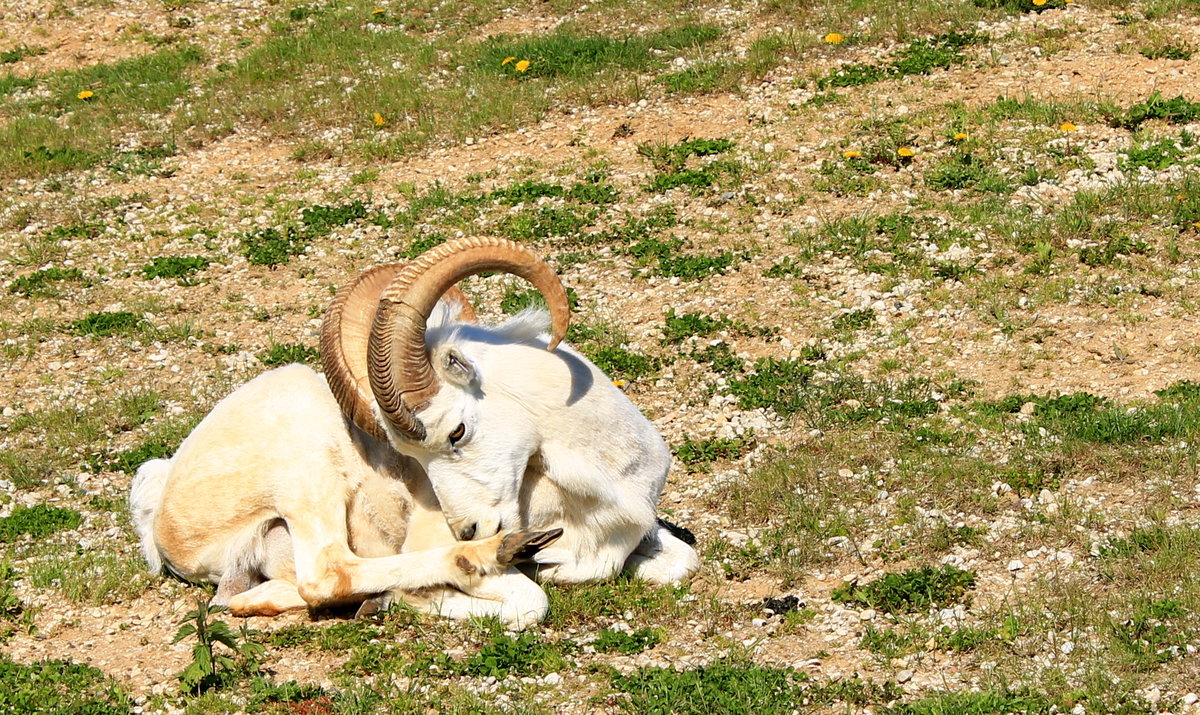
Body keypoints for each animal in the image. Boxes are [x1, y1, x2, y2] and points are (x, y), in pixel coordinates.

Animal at [131, 237, 700, 627]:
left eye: (457, 432)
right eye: (413, 458)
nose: (469, 528)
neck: (613, 480)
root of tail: (162, 510)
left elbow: (682, 562)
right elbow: (528, 602)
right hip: (305, 465)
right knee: (327, 573)